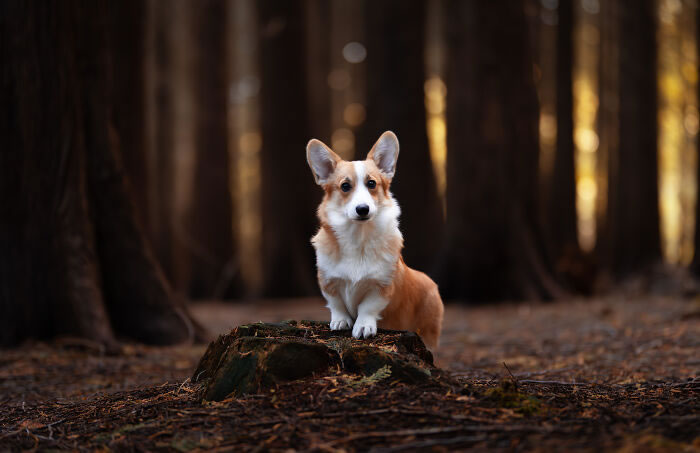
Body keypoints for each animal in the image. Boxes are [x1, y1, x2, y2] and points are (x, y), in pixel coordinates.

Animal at [306, 129, 442, 348]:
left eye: (371, 183)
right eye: (345, 186)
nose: (363, 209)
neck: (358, 237)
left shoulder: (382, 286)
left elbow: (367, 307)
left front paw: (363, 326)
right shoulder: (327, 280)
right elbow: (336, 304)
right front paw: (340, 321)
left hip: (429, 329)